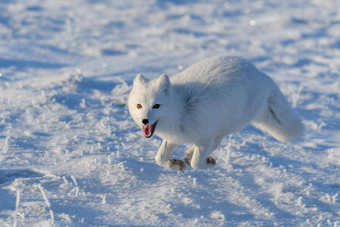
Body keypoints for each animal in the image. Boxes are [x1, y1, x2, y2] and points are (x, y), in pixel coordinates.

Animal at [127, 55, 302, 171]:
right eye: (139, 106)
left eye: (156, 106)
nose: (144, 121)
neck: (183, 108)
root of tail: (262, 75)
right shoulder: (173, 137)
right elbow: (159, 158)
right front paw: (174, 165)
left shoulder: (206, 134)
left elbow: (197, 163)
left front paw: (204, 163)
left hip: (227, 126)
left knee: (215, 143)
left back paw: (193, 154)